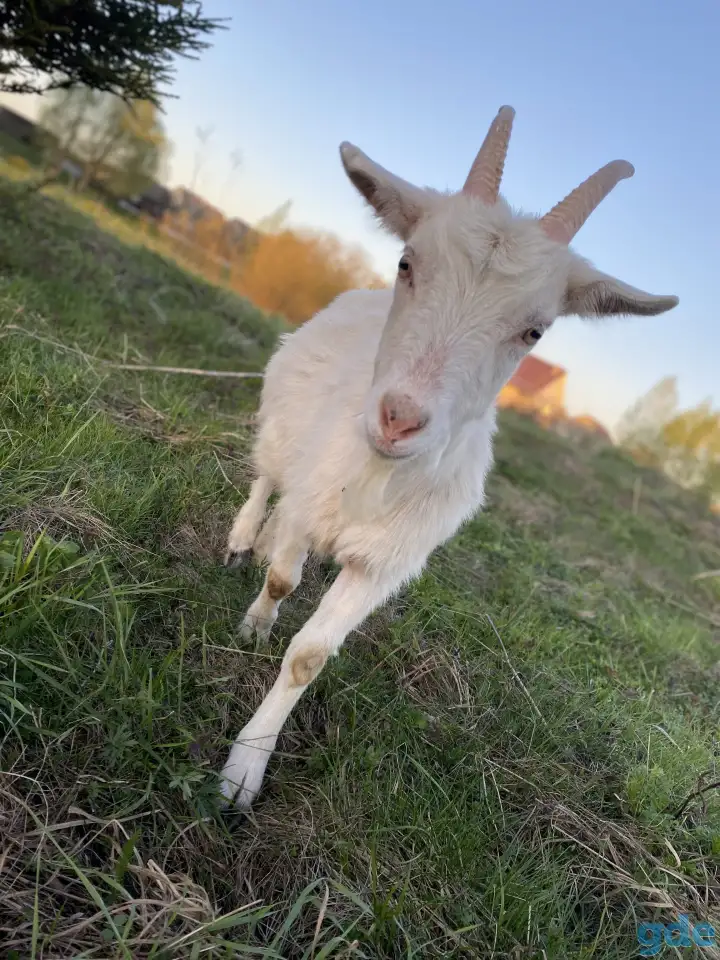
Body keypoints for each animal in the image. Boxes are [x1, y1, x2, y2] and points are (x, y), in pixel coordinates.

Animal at [218, 105, 679, 807]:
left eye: (535, 330)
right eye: (407, 262)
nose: (400, 418)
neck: (374, 477)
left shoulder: (384, 562)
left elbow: (310, 655)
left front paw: (244, 770)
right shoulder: (306, 502)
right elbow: (281, 580)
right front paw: (254, 626)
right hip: (280, 422)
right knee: (265, 476)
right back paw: (244, 537)